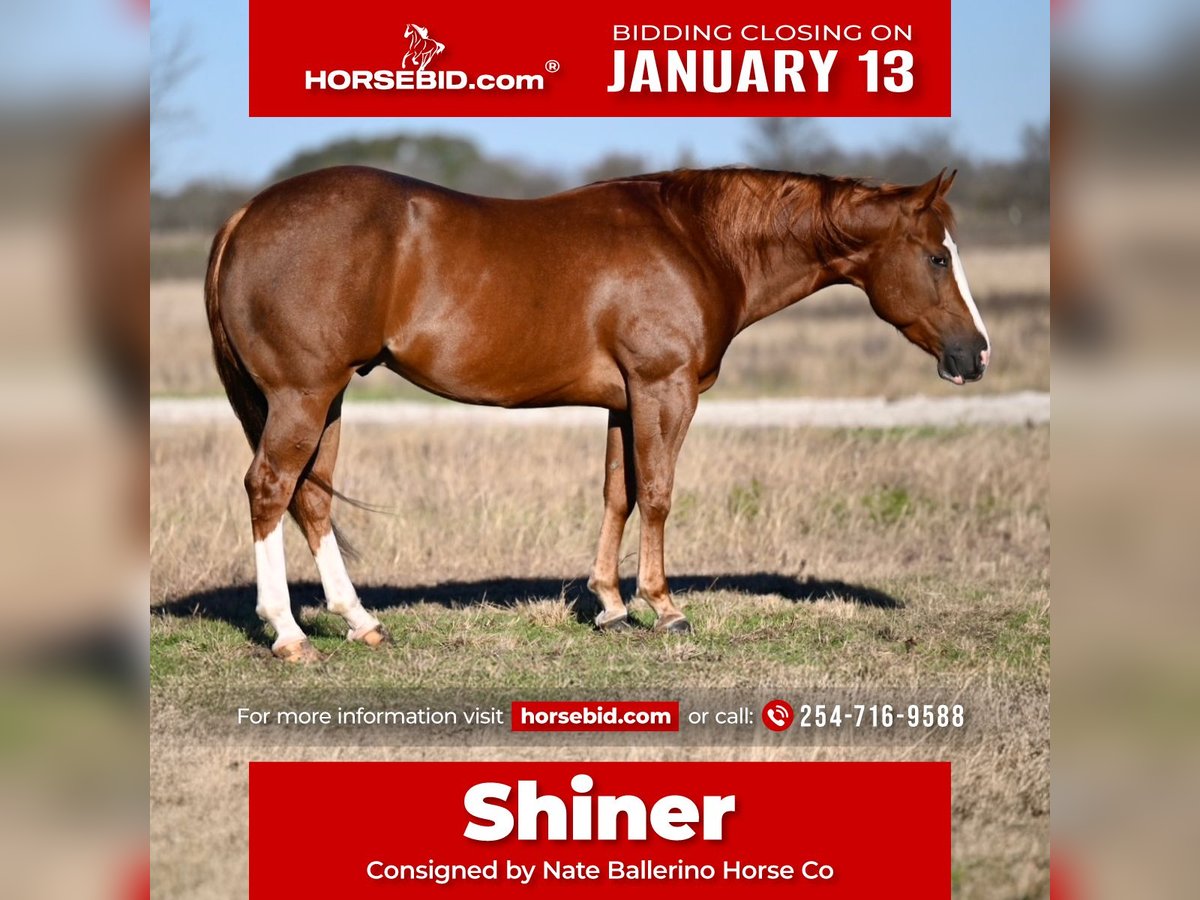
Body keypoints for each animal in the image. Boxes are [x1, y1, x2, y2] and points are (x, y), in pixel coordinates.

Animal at [206, 168, 988, 662]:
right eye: (937, 257)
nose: (975, 354)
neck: (695, 239)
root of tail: (246, 214)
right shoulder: (664, 390)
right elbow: (660, 495)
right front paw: (664, 607)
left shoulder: (624, 402)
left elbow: (620, 494)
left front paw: (610, 604)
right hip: (303, 396)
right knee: (270, 489)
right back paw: (288, 634)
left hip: (328, 400)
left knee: (310, 499)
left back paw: (361, 622)